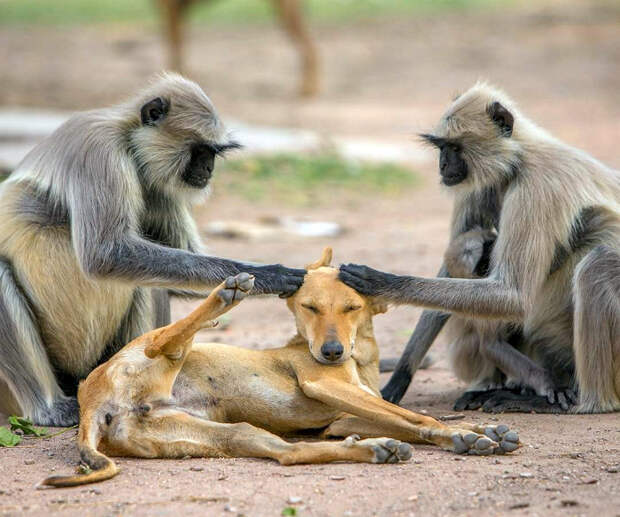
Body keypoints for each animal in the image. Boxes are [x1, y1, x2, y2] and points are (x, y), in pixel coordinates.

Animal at [0, 74, 306, 426]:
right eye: (200, 150)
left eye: (213, 153)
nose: (208, 170)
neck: (128, 142)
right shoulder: (98, 148)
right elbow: (106, 255)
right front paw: (268, 273)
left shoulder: (157, 185)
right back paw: (49, 406)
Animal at [42, 248, 520, 486]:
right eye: (309, 307)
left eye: (352, 308)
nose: (331, 352)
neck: (359, 360)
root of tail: (92, 404)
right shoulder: (327, 387)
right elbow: (417, 416)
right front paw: (461, 434)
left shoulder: (341, 418)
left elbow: (404, 417)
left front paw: (479, 432)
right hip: (152, 351)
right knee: (167, 340)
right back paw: (227, 292)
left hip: (228, 433)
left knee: (289, 455)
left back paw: (373, 450)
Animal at [342, 82, 616, 414]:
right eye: (441, 148)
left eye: (455, 148)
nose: (443, 165)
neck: (518, 160)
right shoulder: (483, 186)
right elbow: (451, 270)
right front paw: (400, 378)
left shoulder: (537, 186)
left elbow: (514, 294)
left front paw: (383, 283)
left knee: (596, 264)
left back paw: (583, 402)